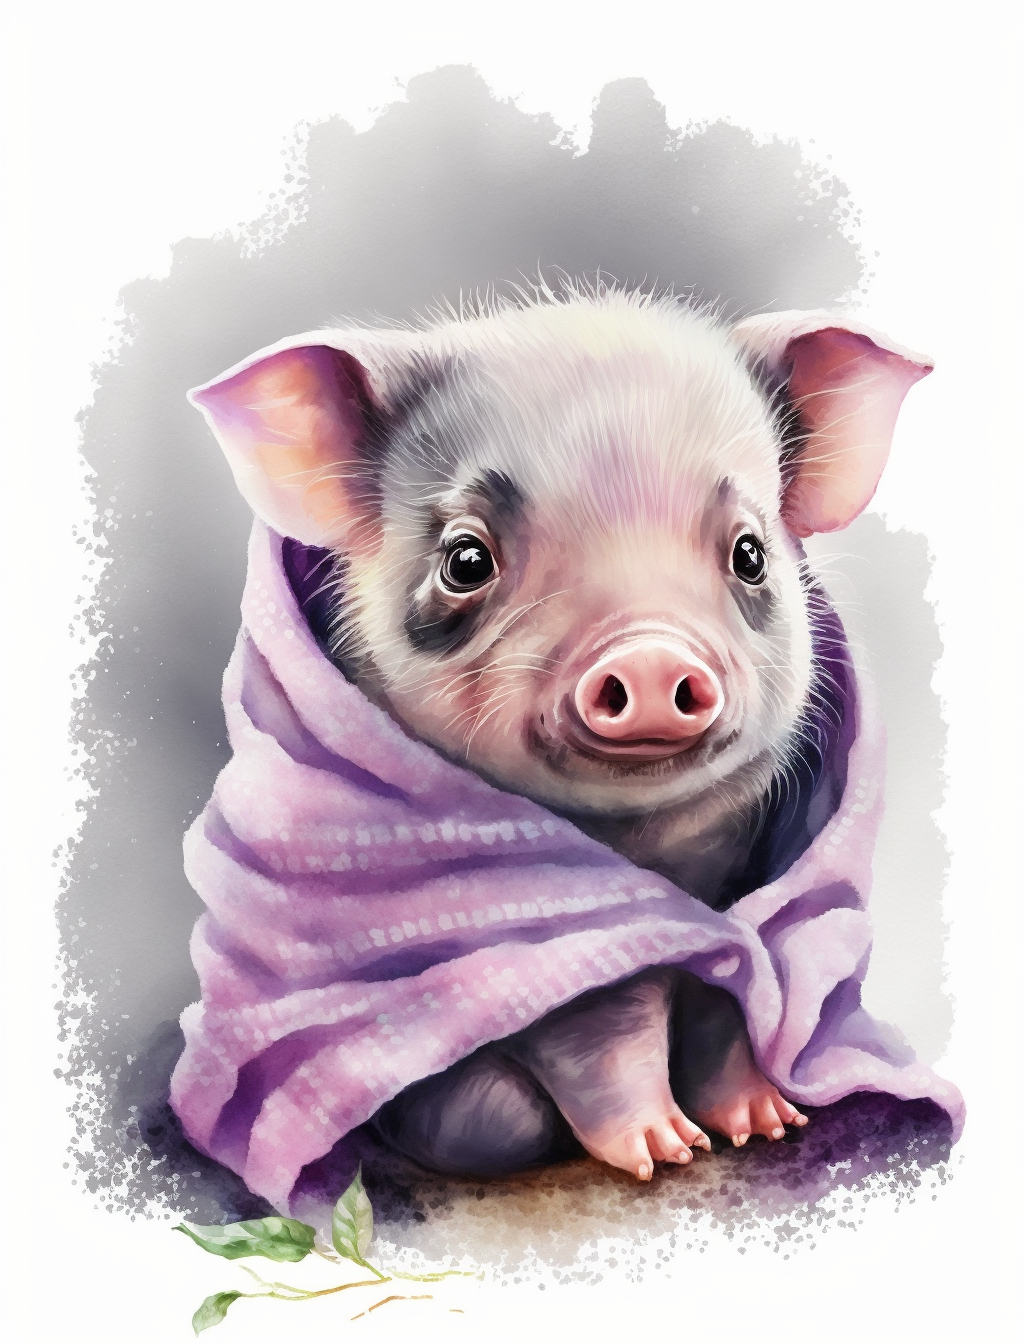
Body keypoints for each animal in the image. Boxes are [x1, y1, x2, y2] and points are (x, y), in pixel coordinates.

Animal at [190, 284, 931, 1183]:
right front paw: (663, 1154)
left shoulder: (743, 889)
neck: (653, 860)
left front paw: (767, 1124)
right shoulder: (549, 970)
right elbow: (600, 1033)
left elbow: (726, 1010)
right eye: (466, 560)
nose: (649, 655)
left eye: (751, 554)